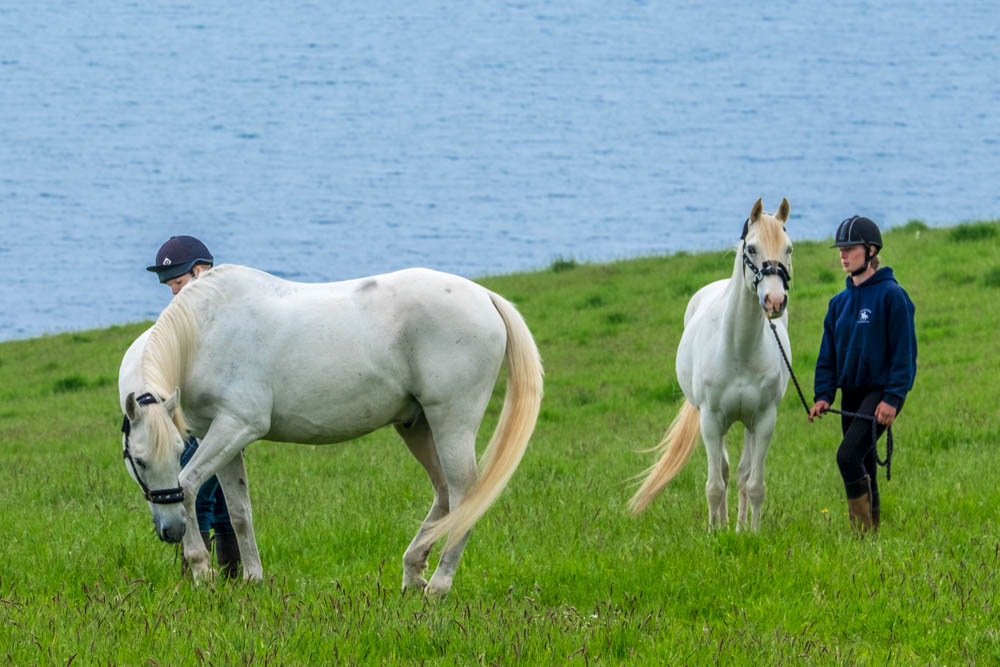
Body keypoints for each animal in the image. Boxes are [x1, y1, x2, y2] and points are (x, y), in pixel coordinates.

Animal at [118, 264, 544, 592]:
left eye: (170, 453)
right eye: (138, 461)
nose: (171, 530)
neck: (204, 331)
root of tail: (484, 296)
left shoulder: (237, 427)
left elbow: (188, 485)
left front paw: (201, 570)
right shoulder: (220, 436)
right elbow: (239, 510)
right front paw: (253, 579)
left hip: (451, 421)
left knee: (463, 494)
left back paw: (439, 585)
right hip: (417, 426)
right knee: (443, 492)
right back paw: (412, 573)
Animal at [632, 200, 788, 532]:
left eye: (788, 249)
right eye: (752, 248)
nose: (774, 301)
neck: (739, 349)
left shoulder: (764, 421)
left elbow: (755, 484)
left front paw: (751, 533)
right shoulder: (711, 421)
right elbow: (715, 485)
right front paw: (714, 532)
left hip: (748, 424)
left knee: (741, 473)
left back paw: (738, 527)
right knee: (726, 472)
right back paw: (725, 524)